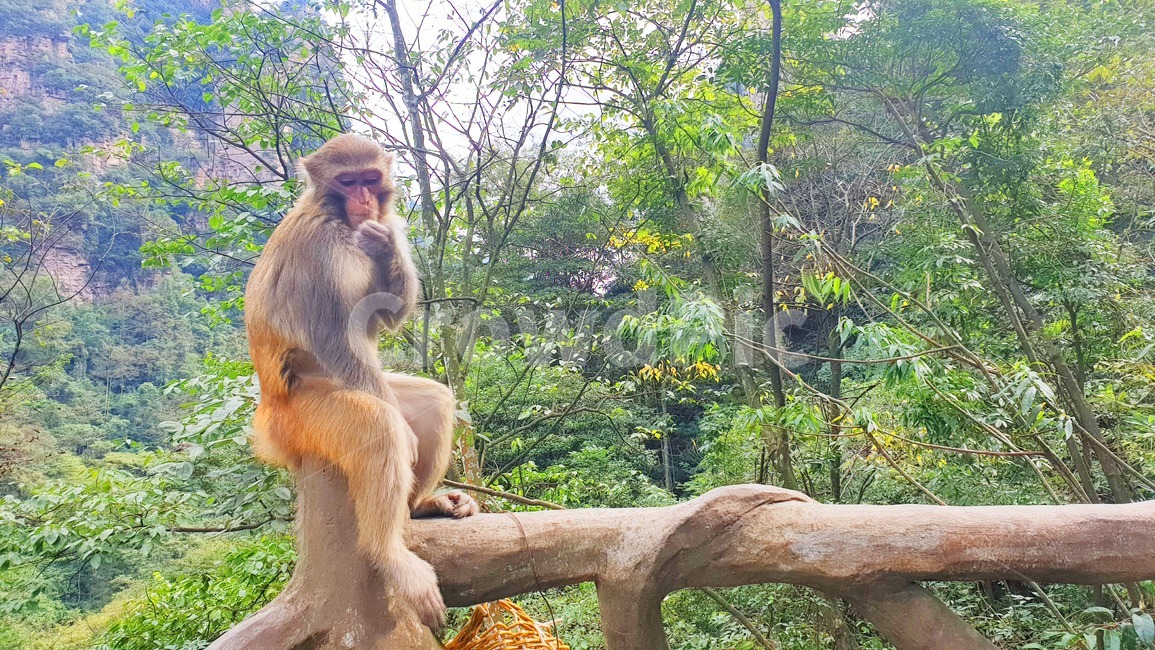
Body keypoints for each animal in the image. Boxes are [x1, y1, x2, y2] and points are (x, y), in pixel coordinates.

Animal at [245, 133, 478, 629]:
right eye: (347, 182)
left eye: (370, 179)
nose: (364, 201)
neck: (337, 219)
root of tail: (267, 417)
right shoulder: (317, 249)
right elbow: (335, 338)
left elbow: (387, 314)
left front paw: (384, 246)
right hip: (305, 418)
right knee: (381, 428)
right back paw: (389, 554)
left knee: (432, 403)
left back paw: (419, 507)